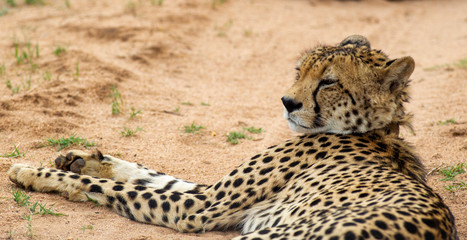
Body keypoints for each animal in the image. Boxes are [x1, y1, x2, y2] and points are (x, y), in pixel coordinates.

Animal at [9, 35, 458, 240]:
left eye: (329, 82)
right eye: (300, 70)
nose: (287, 102)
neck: (372, 131)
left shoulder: (198, 209)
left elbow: (112, 187)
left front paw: (31, 172)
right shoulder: (210, 195)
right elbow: (151, 175)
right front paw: (81, 158)